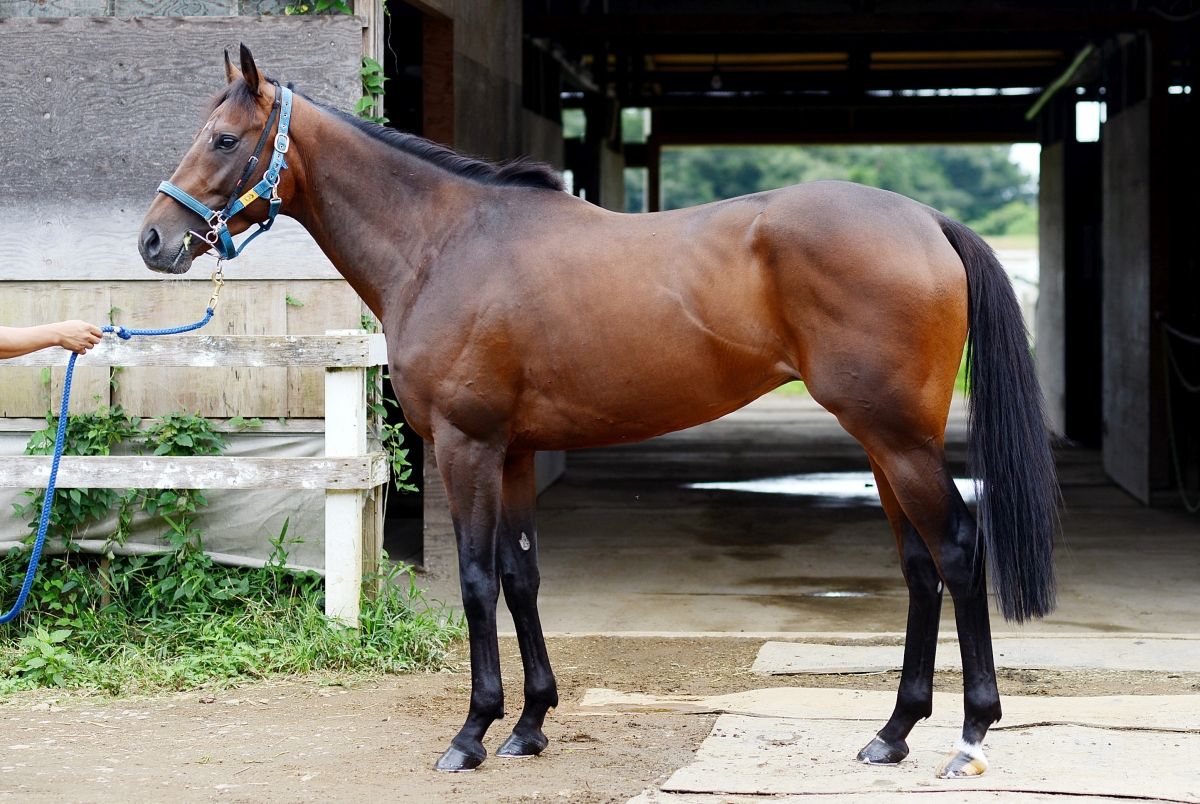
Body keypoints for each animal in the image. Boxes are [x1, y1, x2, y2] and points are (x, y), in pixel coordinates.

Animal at [138, 46, 1059, 778]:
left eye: (224, 140)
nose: (154, 241)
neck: (444, 244)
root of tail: (927, 221)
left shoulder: (467, 449)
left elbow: (476, 581)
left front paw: (471, 734)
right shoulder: (511, 453)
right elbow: (521, 577)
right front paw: (530, 725)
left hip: (898, 440)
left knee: (958, 549)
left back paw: (970, 735)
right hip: (884, 442)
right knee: (918, 566)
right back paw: (893, 732)